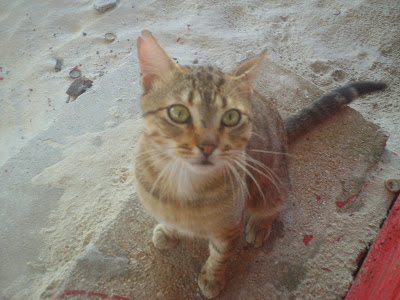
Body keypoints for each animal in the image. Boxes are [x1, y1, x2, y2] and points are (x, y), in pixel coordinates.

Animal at [135, 30, 388, 298]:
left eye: (231, 117)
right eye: (179, 113)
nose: (207, 146)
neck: (182, 184)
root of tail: (283, 132)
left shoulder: (229, 228)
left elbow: (220, 256)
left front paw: (213, 278)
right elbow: (168, 220)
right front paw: (168, 231)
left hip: (272, 184)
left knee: (276, 203)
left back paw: (259, 224)